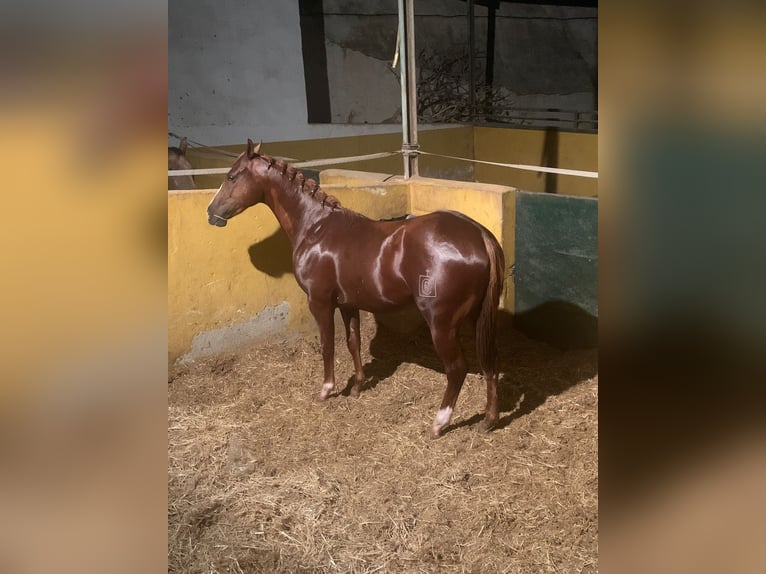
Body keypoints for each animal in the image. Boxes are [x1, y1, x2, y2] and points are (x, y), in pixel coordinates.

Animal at [207, 141, 508, 440]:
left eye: (231, 176)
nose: (211, 213)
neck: (315, 227)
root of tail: (478, 235)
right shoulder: (349, 304)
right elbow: (354, 343)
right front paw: (357, 386)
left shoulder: (319, 302)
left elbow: (327, 345)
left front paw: (327, 390)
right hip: (478, 317)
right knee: (491, 362)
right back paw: (489, 420)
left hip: (441, 324)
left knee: (457, 369)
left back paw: (439, 423)